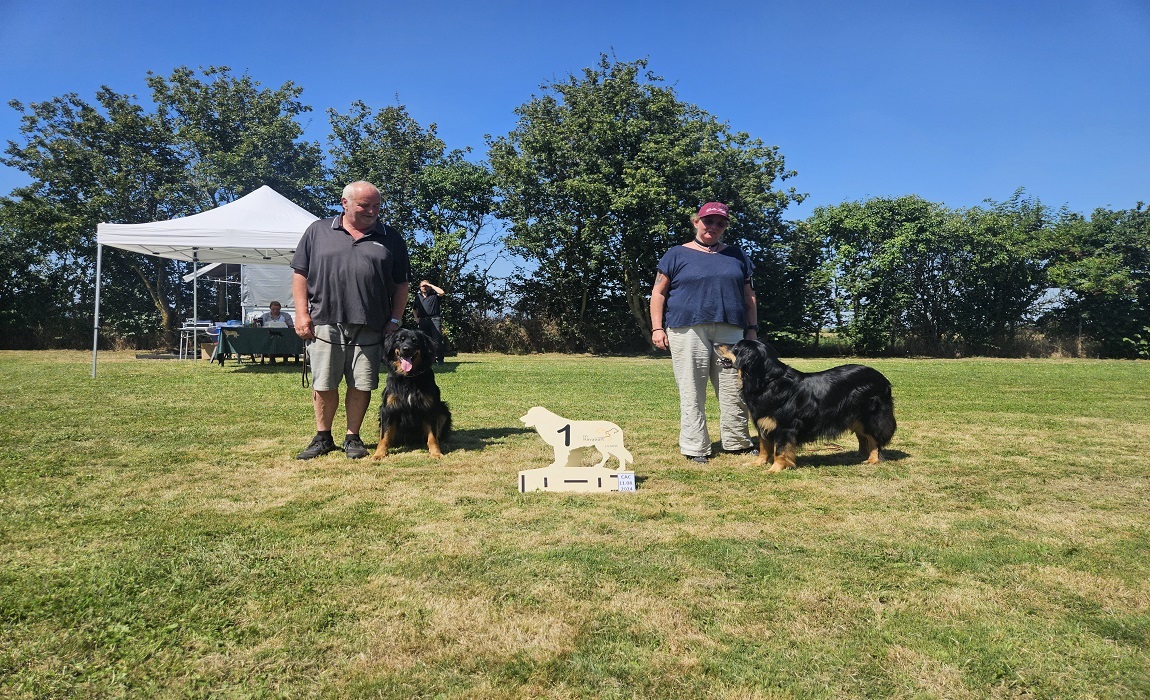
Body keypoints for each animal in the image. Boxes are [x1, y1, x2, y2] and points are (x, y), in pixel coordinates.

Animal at [374, 326, 450, 459]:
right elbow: (384, 435)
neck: (409, 378)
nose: (406, 349)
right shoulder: (387, 408)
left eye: (415, 341)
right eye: (400, 340)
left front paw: (436, 452)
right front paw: (379, 453)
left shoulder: (430, 407)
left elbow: (432, 436)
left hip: (443, 410)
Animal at [713, 337, 892, 471]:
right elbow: (764, 446)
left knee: (874, 438)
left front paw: (775, 469)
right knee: (863, 436)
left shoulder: (784, 426)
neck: (767, 381)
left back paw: (872, 459)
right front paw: (758, 463)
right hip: (855, 416)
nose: (714, 343)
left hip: (870, 414)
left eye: (736, 347)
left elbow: (780, 450)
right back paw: (860, 455)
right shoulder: (763, 422)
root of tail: (882, 378)